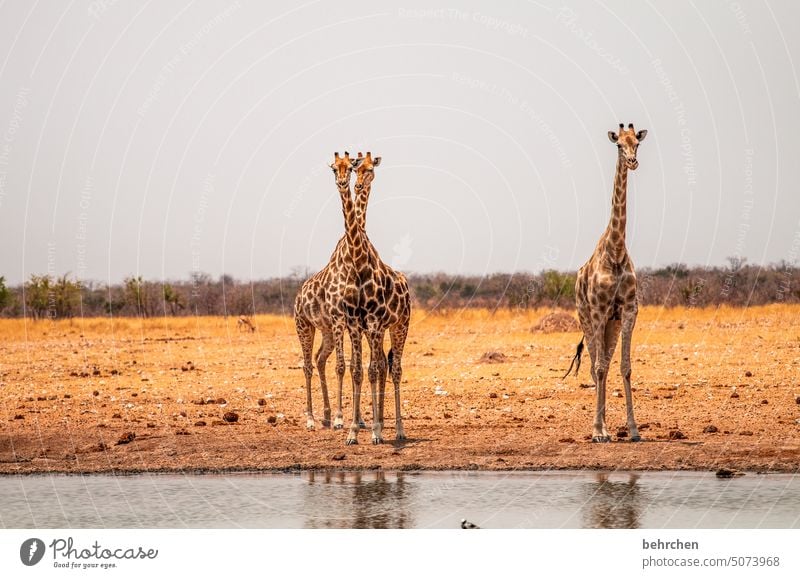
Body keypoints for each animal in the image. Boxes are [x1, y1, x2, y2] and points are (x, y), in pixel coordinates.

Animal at [292, 151, 364, 430]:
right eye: (334, 168)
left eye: (351, 167)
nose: (344, 183)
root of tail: (297, 297)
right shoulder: (339, 317)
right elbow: (342, 366)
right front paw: (341, 418)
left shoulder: (352, 320)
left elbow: (352, 364)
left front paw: (354, 418)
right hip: (304, 325)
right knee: (307, 364)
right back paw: (311, 419)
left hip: (326, 330)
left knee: (320, 359)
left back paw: (324, 413)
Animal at [564, 122, 648, 440]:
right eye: (618, 145)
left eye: (637, 142)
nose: (633, 161)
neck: (616, 250)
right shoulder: (600, 311)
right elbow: (599, 368)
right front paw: (598, 431)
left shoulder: (628, 310)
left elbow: (625, 367)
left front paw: (634, 430)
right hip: (586, 318)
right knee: (593, 366)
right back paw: (600, 428)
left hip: (610, 324)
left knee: (606, 364)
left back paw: (609, 426)